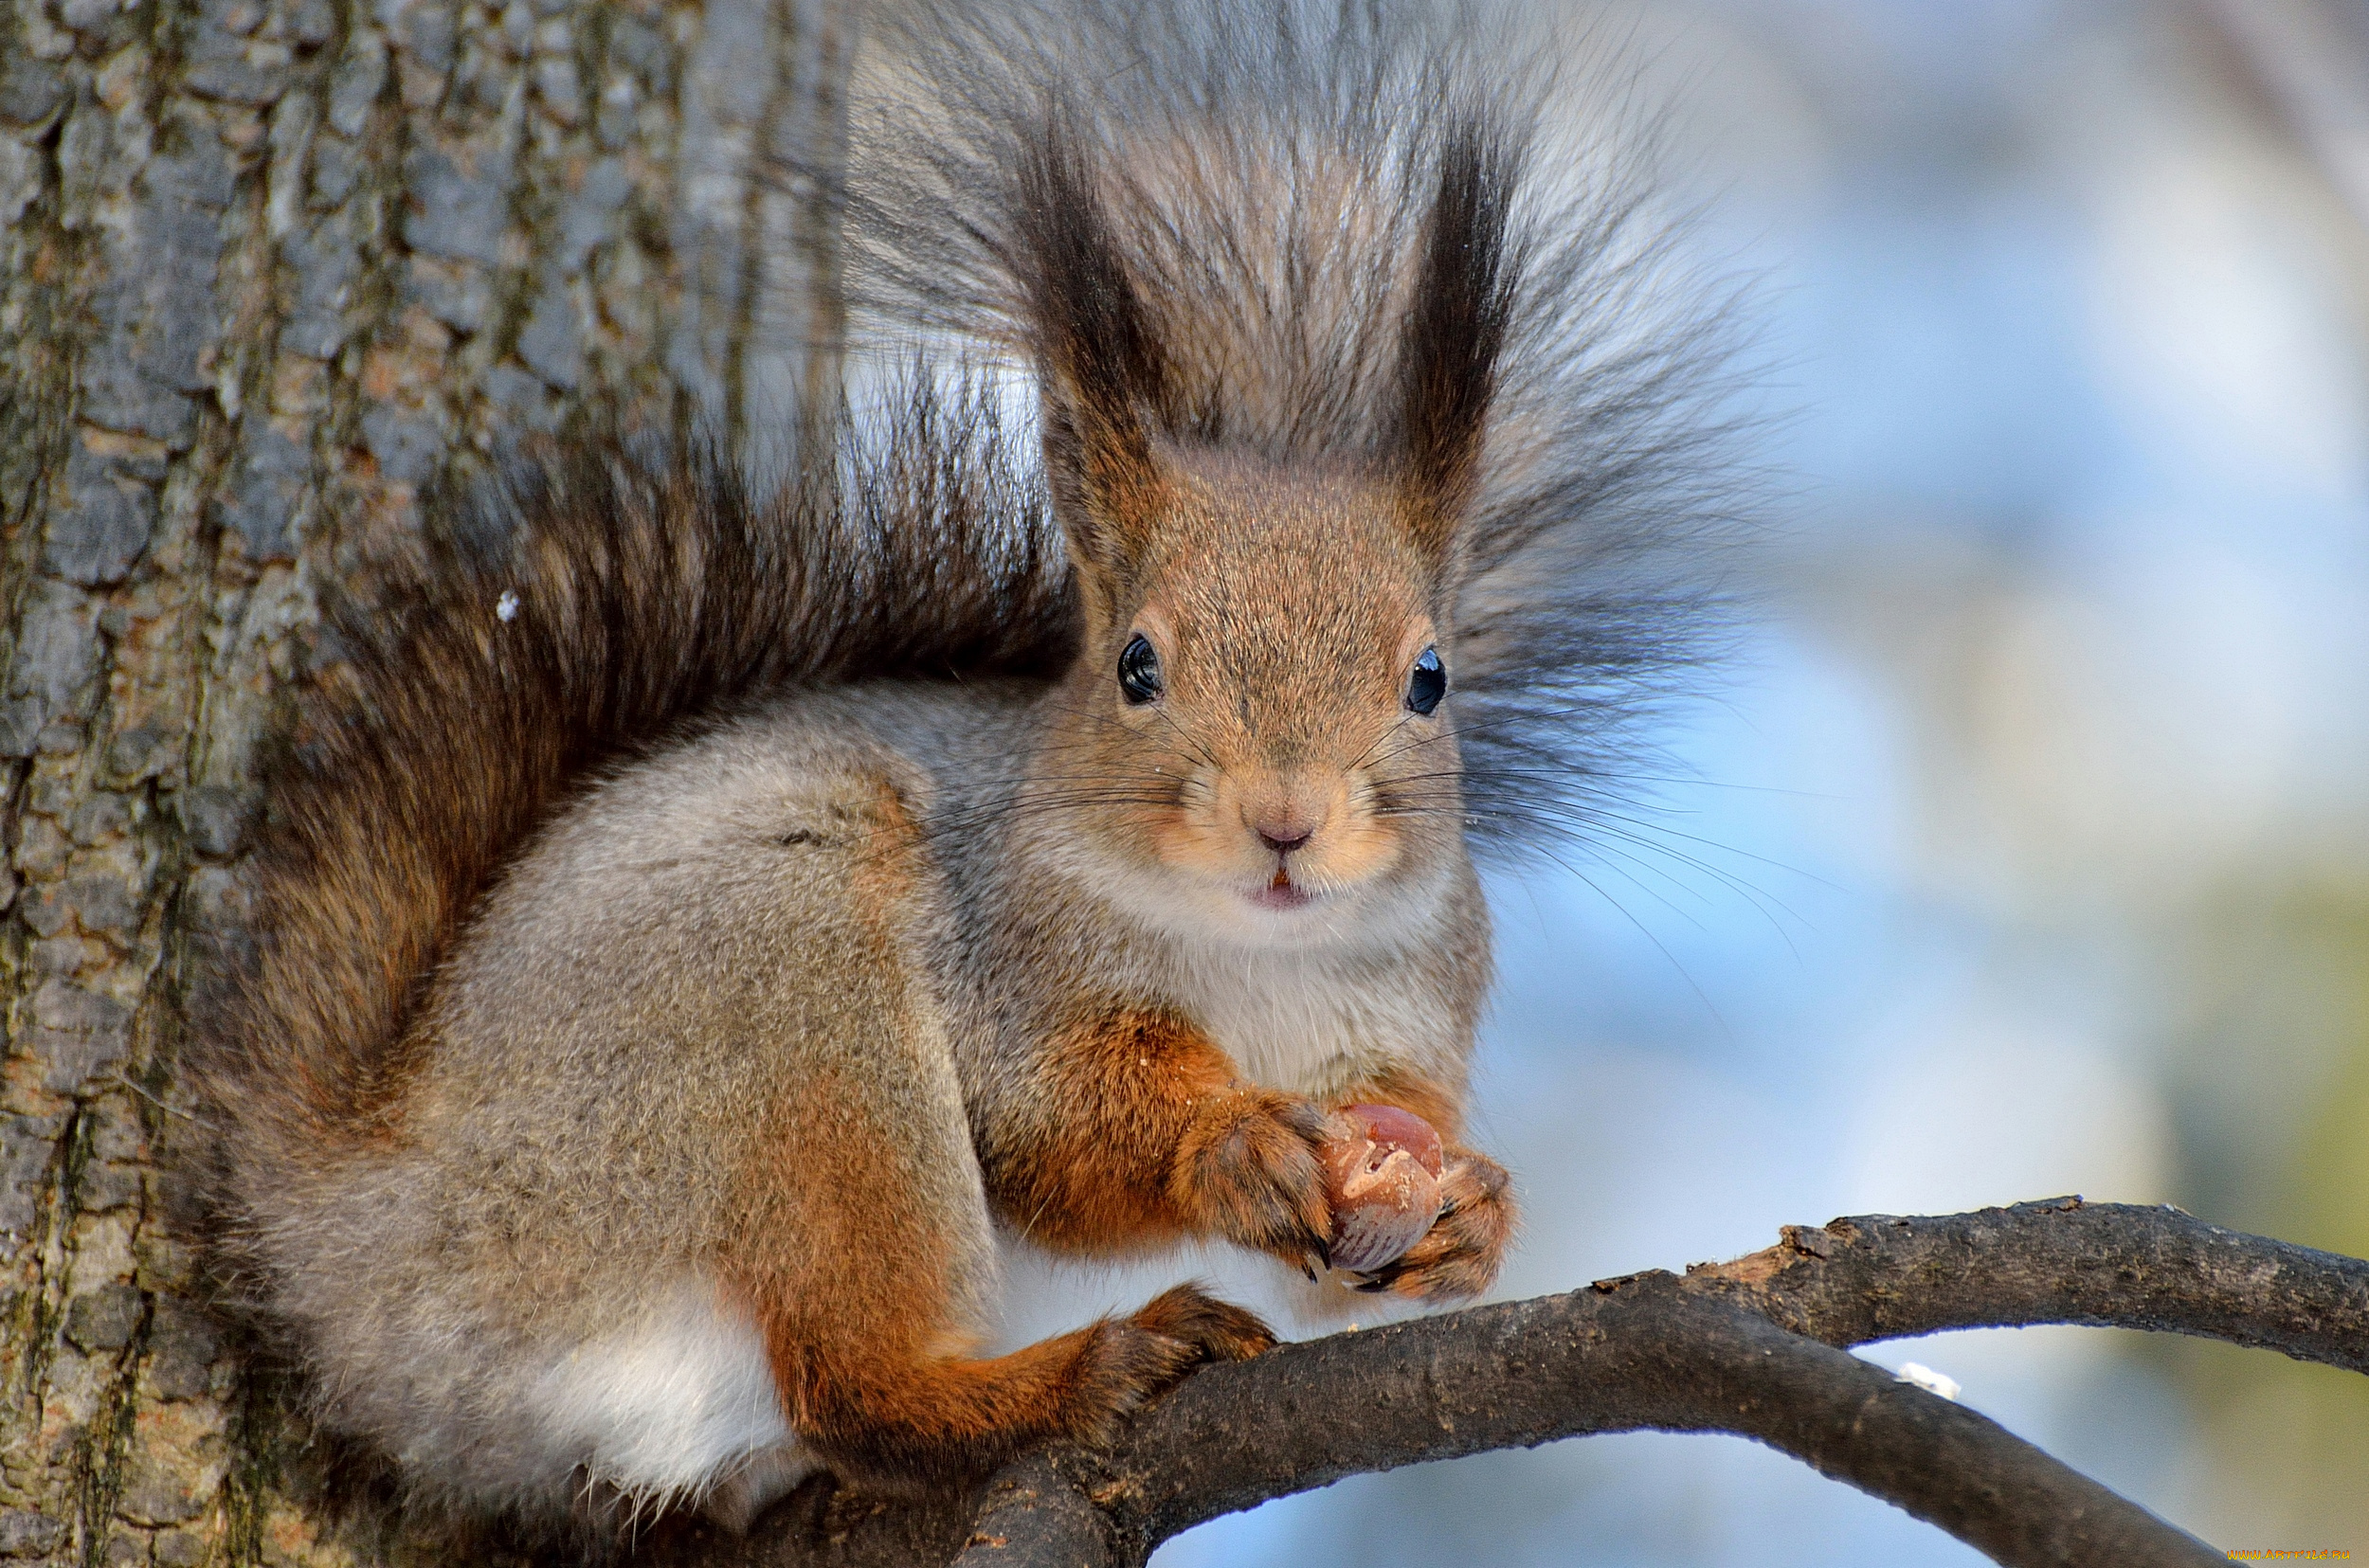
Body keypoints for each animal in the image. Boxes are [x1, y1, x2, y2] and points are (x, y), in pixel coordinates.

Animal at [190, 0, 1744, 1544]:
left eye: (1430, 678)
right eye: (1135, 665)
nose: (1285, 824)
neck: (1255, 958)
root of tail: (363, 1242)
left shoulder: (1413, 1008)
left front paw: (1469, 1210)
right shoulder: (1011, 962)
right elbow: (1048, 1131)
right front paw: (1229, 1143)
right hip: (777, 1017)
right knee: (853, 1380)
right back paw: (1073, 1371)